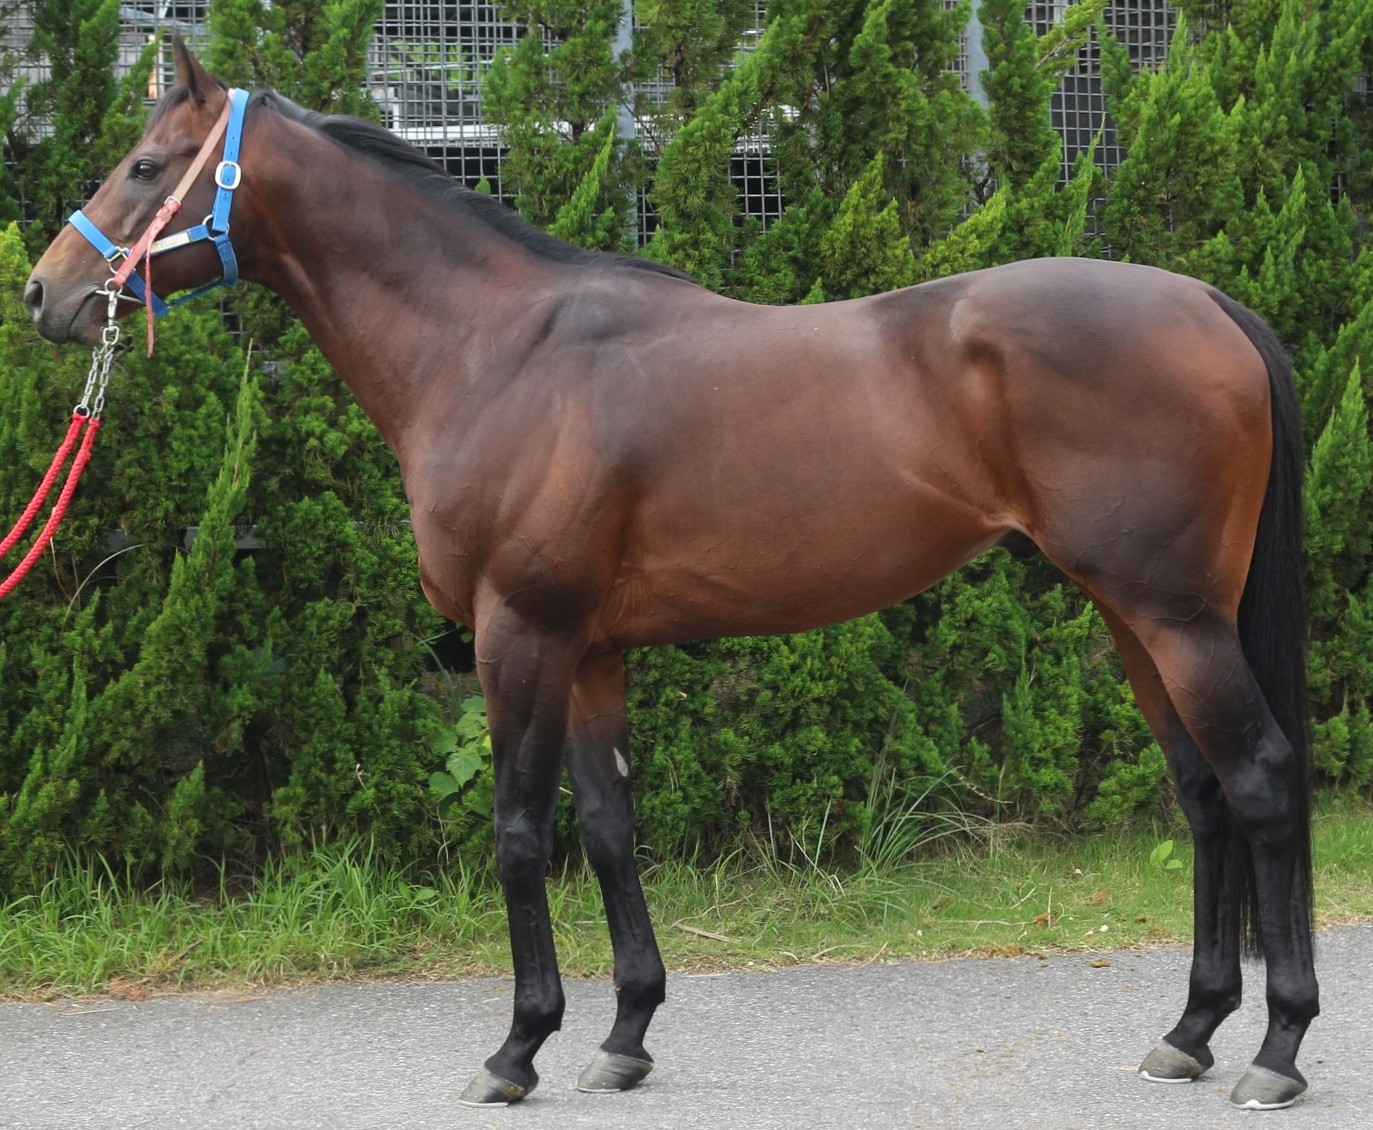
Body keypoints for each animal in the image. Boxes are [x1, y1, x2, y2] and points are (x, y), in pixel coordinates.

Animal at [23, 39, 1317, 1111]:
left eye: (146, 165)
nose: (46, 292)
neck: (496, 352)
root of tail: (1206, 302)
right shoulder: (590, 648)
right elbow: (606, 825)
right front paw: (623, 1034)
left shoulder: (518, 632)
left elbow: (516, 828)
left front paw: (516, 1047)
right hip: (1135, 618)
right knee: (1201, 791)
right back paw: (1189, 1031)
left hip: (1173, 616)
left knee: (1257, 779)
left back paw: (1274, 1049)